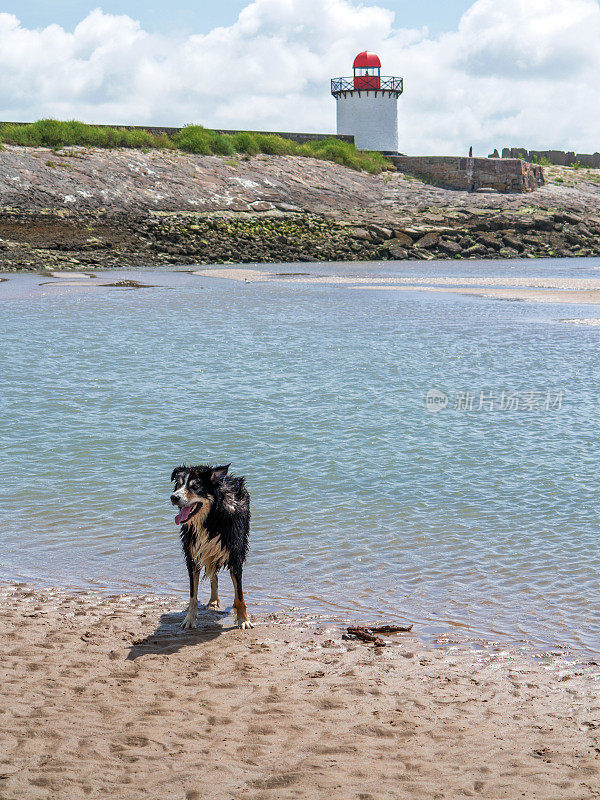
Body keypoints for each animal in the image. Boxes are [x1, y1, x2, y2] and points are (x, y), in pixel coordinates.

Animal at [170, 462, 252, 632]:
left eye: (195, 487)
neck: (210, 519)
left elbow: (240, 592)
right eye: (179, 485)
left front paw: (243, 619)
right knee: (213, 573)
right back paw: (214, 600)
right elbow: (193, 595)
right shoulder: (192, 555)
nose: (174, 497)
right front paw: (189, 619)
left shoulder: (235, 554)